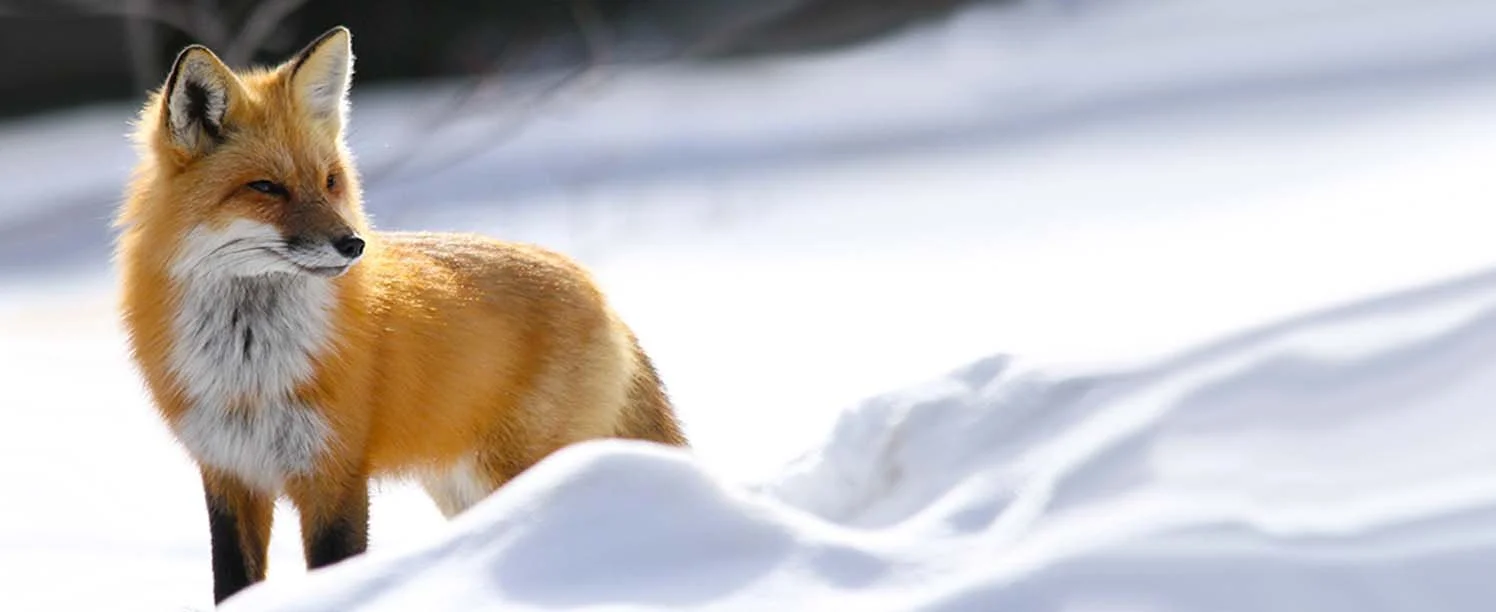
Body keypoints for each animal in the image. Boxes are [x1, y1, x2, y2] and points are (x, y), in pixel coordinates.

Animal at [113, 27, 687, 605]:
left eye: (330, 181)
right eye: (266, 187)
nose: (353, 244)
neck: (250, 370)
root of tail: (594, 287)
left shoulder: (336, 473)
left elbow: (336, 565)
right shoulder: (230, 473)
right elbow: (232, 584)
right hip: (462, 486)